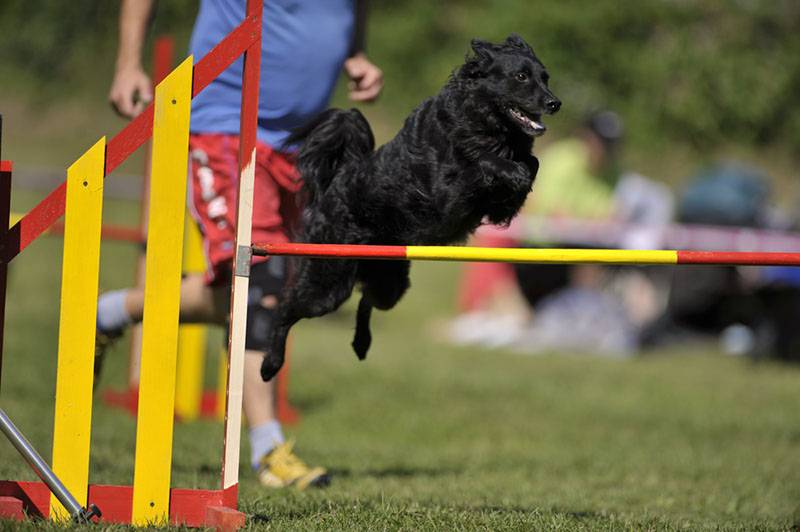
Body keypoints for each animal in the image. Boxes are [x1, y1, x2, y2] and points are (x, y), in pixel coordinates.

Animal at [260, 33, 560, 380]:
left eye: (545, 77)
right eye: (521, 76)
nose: (555, 103)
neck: (480, 119)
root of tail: (337, 181)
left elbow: (531, 163)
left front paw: (517, 183)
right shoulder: (447, 195)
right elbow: (486, 163)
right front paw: (510, 172)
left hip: (390, 281)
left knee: (367, 298)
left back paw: (361, 342)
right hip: (328, 281)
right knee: (285, 308)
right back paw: (270, 364)